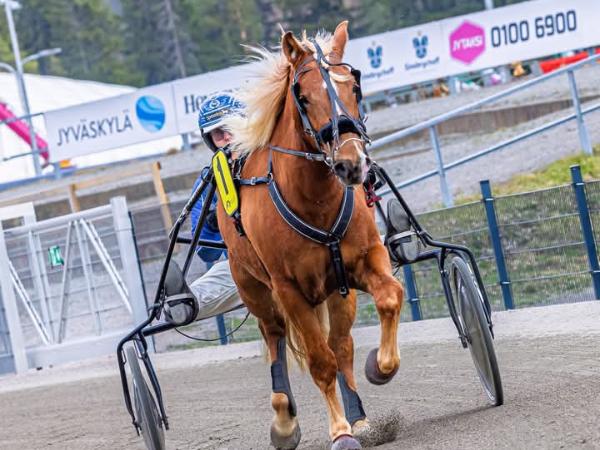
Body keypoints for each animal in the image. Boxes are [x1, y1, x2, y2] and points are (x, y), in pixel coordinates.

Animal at [218, 21, 404, 450]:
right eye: (303, 95)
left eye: (355, 87)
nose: (351, 163)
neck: (314, 200)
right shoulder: (289, 289)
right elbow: (320, 362)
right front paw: (340, 432)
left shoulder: (363, 261)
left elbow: (389, 297)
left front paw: (380, 368)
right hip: (253, 287)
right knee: (274, 336)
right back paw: (285, 420)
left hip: (337, 291)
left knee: (342, 346)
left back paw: (360, 417)